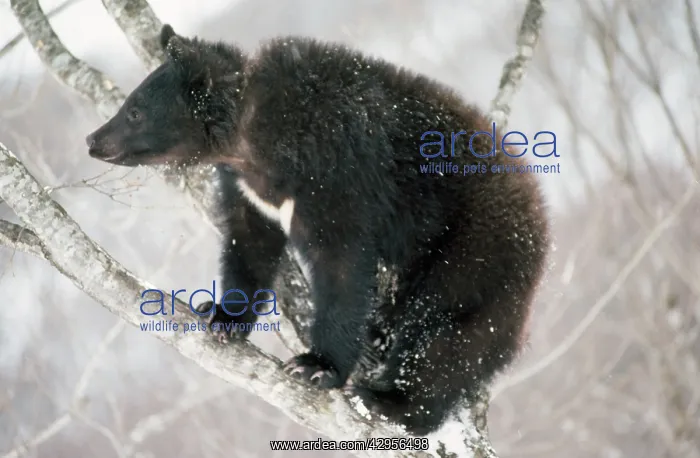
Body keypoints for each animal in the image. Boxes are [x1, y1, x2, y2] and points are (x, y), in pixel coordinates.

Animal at [85, 24, 550, 436]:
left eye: (134, 110)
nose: (93, 140)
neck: (254, 145)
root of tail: (540, 230)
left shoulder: (338, 180)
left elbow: (341, 267)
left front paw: (317, 365)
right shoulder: (251, 193)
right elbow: (248, 243)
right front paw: (223, 316)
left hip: (470, 254)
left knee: (444, 334)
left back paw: (393, 402)